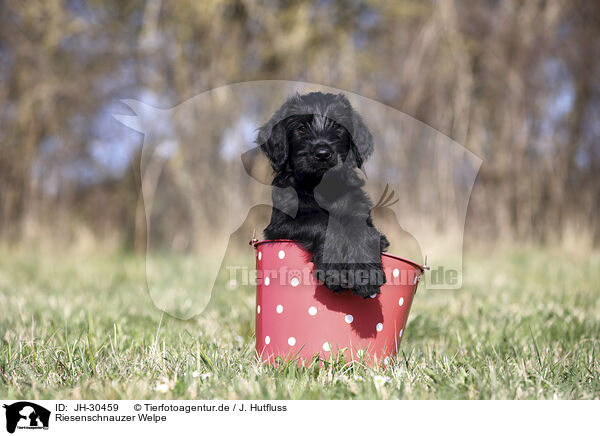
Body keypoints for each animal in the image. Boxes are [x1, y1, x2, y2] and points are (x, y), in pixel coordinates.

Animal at [256, 91, 390, 296]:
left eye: (337, 126)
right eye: (301, 128)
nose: (322, 153)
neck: (321, 186)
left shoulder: (358, 208)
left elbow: (361, 228)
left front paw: (366, 273)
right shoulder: (280, 224)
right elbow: (323, 221)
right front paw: (335, 271)